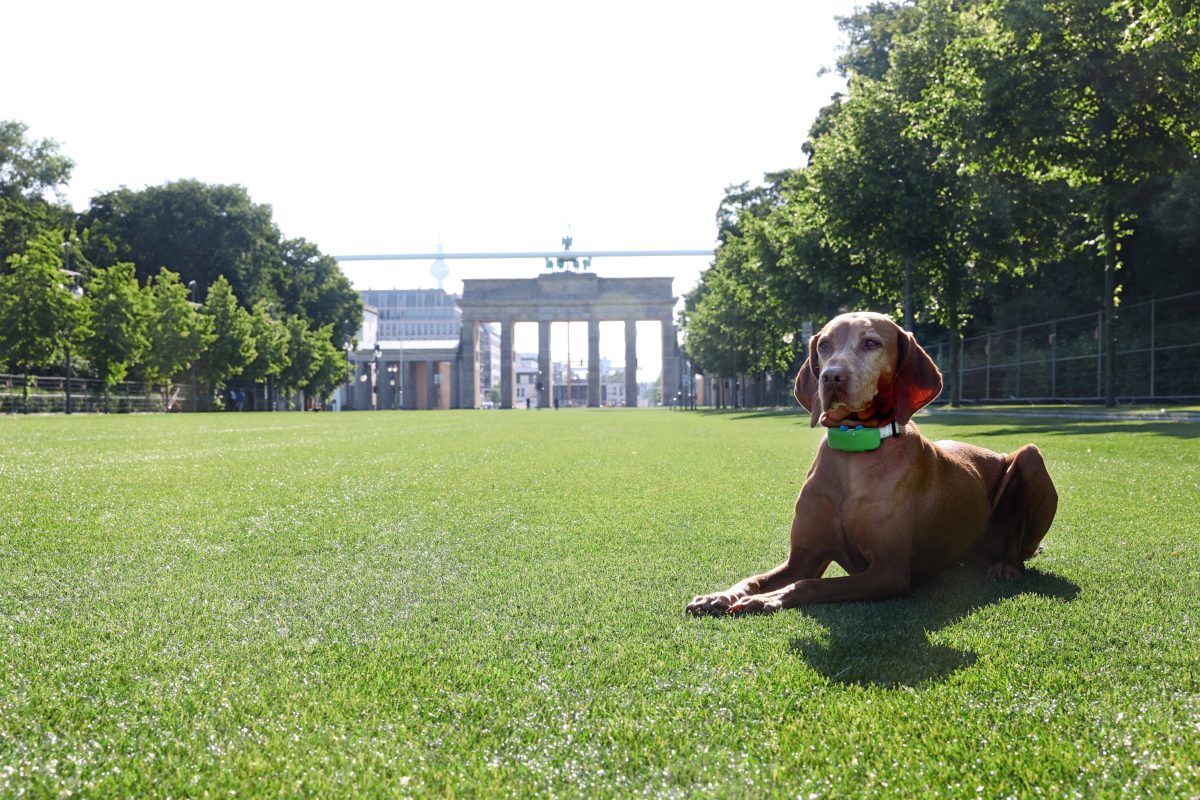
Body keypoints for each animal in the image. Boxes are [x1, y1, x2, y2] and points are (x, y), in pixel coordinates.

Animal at [686, 309, 1060, 618]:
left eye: (871, 343)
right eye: (824, 345)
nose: (831, 377)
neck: (853, 448)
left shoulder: (889, 572)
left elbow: (811, 584)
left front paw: (767, 599)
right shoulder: (803, 558)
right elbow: (755, 577)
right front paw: (720, 595)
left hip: (1030, 457)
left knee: (1019, 542)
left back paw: (1006, 566)